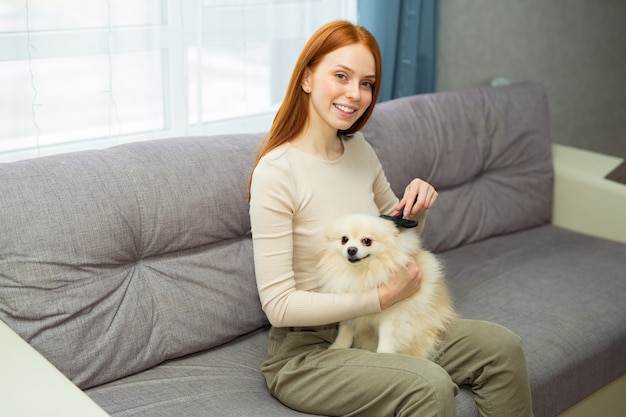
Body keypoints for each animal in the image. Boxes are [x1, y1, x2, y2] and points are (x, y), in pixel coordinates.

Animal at [316, 213, 454, 360]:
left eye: (367, 241)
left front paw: (384, 352)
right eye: (344, 239)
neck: (363, 273)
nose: (351, 249)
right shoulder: (349, 311)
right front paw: (338, 347)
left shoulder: (393, 314)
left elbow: (387, 335)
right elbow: (344, 331)